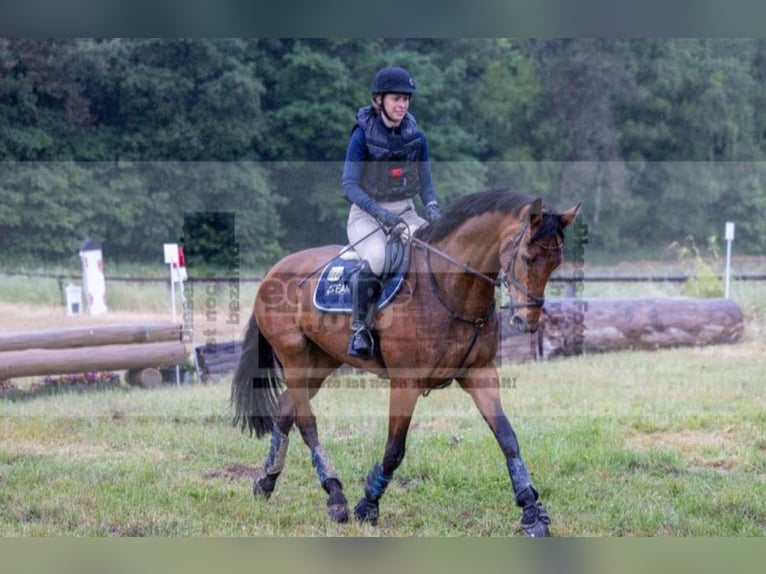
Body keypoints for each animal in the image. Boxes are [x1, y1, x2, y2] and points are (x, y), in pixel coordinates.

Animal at [231, 188, 580, 536]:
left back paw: (267, 482)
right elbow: (394, 449)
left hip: (320, 361)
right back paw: (335, 497)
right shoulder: (406, 382)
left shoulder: (480, 374)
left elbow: (508, 438)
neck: (449, 291)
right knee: (306, 421)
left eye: (556, 263)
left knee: (285, 409)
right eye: (527, 258)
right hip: (294, 357)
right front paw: (368, 505)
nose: (527, 321)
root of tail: (274, 271)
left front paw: (532, 511)